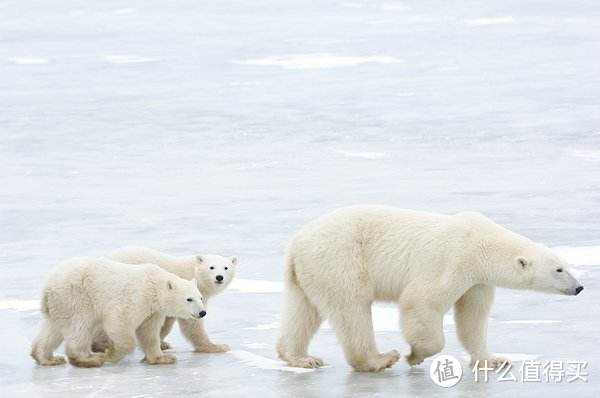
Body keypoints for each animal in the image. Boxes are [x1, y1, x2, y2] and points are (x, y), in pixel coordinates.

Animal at [31, 258, 205, 366]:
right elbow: (120, 321)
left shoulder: (153, 311)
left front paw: (163, 358)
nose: (202, 313)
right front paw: (110, 353)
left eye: (201, 297)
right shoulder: (136, 297)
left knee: (52, 329)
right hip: (77, 297)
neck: (154, 286)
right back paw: (90, 359)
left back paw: (47, 358)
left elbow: (149, 332)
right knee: (80, 326)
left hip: (59, 304)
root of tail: (47, 287)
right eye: (189, 299)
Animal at [96, 247, 234, 352]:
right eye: (211, 267)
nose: (219, 277)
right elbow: (192, 323)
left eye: (226, 268)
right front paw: (217, 346)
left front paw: (162, 343)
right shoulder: (185, 293)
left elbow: (166, 322)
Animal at [278, 205, 584, 374]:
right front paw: (415, 355)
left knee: (302, 311)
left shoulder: (477, 280)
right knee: (352, 308)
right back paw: (379, 359)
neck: (482, 244)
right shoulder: (452, 260)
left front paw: (493, 360)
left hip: (308, 272)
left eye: (566, 265)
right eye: (559, 269)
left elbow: (473, 318)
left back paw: (301, 358)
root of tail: (296, 243)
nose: (579, 287)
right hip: (341, 259)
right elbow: (421, 301)